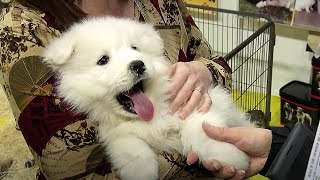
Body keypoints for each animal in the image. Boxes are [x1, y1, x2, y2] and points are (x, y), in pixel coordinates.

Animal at [42, 17, 255, 180]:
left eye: (135, 48)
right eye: (103, 60)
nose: (138, 65)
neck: (148, 117)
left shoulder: (195, 103)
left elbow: (201, 132)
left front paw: (233, 158)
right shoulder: (114, 133)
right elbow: (130, 149)